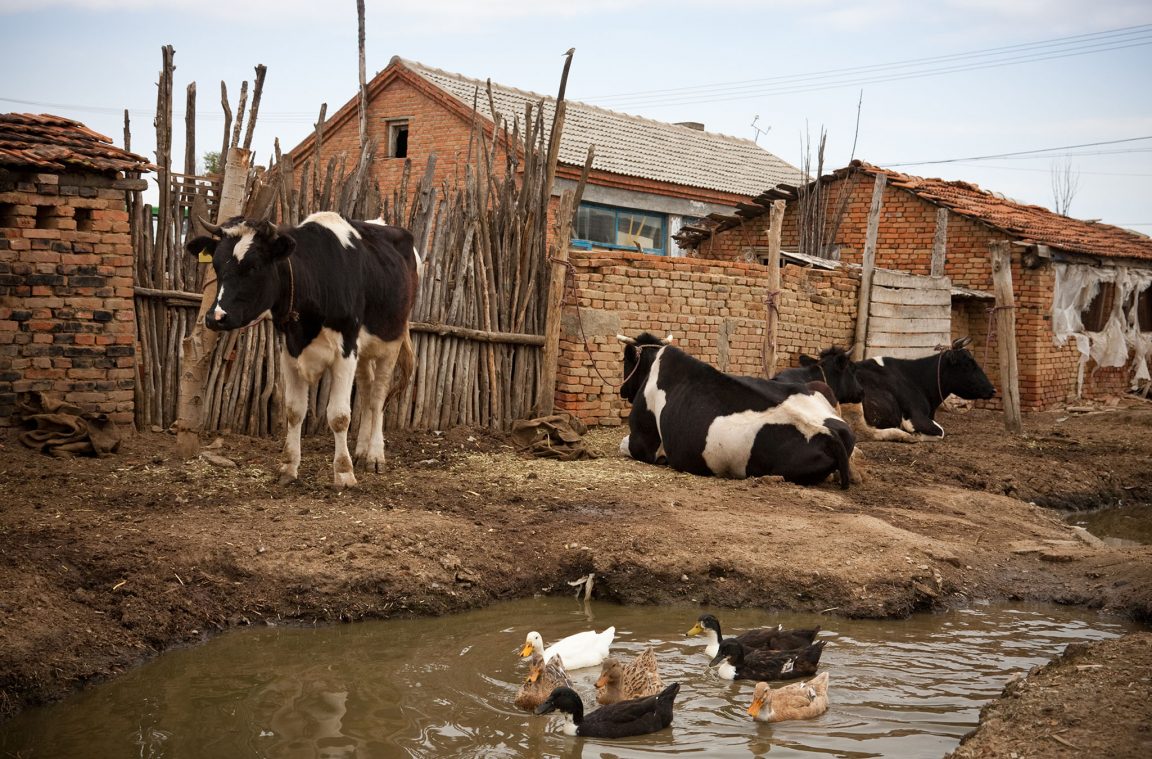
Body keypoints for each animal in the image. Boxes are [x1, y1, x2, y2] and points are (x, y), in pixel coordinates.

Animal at [186, 211, 421, 486]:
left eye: (253, 266)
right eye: (216, 266)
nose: (215, 317)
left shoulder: (345, 350)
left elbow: (339, 416)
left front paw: (344, 473)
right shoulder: (289, 351)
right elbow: (294, 410)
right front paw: (289, 467)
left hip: (391, 341)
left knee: (377, 397)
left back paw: (374, 455)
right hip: (363, 352)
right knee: (365, 390)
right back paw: (361, 450)